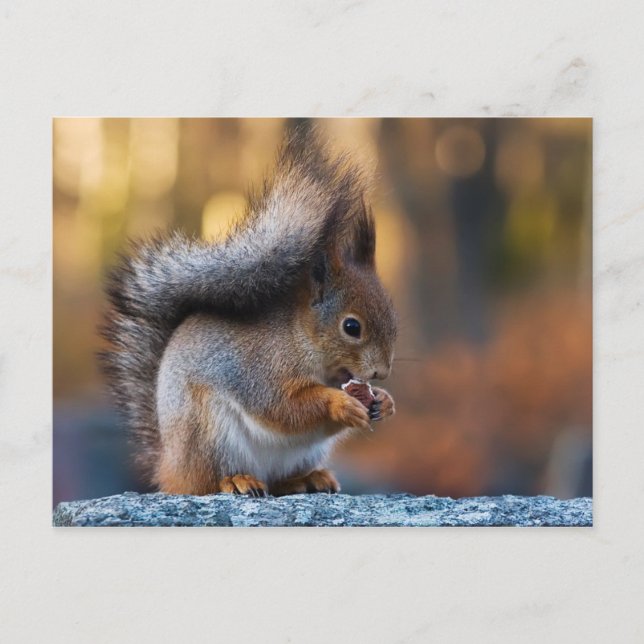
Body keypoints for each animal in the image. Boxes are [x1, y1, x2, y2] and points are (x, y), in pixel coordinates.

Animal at [101, 128, 397, 497]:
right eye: (351, 326)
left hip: (302, 452)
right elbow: (284, 407)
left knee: (280, 481)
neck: (301, 338)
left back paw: (308, 478)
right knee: (209, 481)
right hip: (210, 434)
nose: (382, 372)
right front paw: (340, 404)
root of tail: (170, 467)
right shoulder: (261, 370)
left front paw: (384, 401)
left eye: (393, 317)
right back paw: (236, 480)